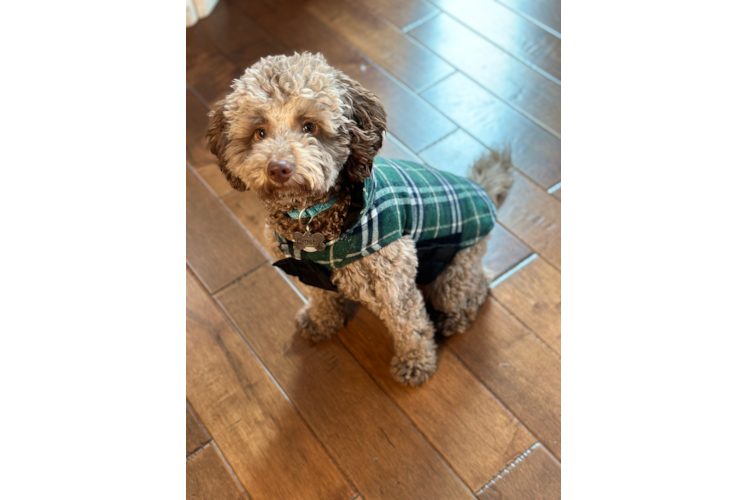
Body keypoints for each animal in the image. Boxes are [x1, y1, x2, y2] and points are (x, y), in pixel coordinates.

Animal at [207, 51, 512, 386]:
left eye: (309, 126)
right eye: (259, 132)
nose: (278, 168)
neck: (313, 216)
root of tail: (482, 191)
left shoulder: (394, 283)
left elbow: (410, 326)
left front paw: (415, 362)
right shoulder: (309, 270)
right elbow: (322, 297)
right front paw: (321, 321)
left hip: (456, 269)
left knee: (477, 285)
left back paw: (454, 317)